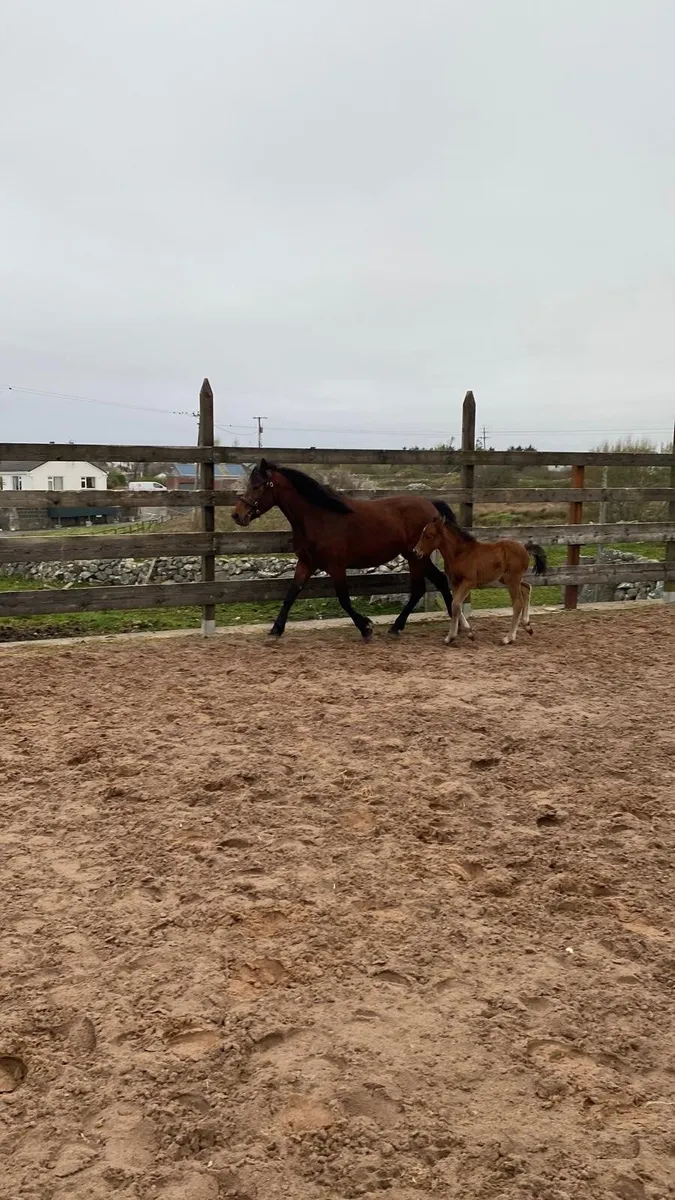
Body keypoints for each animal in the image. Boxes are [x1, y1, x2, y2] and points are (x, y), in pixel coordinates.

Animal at [231, 459, 455, 639]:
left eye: (258, 486)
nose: (237, 515)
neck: (318, 518)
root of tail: (431, 505)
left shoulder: (336, 566)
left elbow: (344, 599)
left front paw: (365, 627)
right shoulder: (306, 563)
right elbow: (291, 593)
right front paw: (275, 630)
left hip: (416, 557)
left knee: (419, 588)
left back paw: (398, 627)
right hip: (416, 555)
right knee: (439, 581)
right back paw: (451, 620)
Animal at [413, 510, 548, 646]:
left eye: (429, 535)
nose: (415, 551)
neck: (460, 554)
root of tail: (524, 547)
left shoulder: (469, 582)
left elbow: (456, 604)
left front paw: (452, 636)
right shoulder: (455, 582)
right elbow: (455, 604)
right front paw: (465, 634)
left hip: (512, 580)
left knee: (518, 604)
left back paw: (508, 638)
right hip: (508, 579)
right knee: (527, 587)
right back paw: (527, 626)